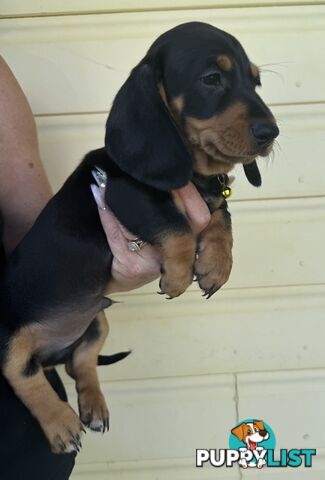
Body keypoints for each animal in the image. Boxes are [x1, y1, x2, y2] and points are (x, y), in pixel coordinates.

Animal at [0, 23, 278, 454]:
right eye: (211, 79)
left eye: (257, 81)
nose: (271, 133)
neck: (194, 173)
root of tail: (49, 356)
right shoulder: (125, 193)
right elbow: (176, 226)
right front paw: (179, 274)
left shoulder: (212, 197)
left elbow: (221, 219)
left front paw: (216, 265)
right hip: (11, 336)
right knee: (21, 373)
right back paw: (61, 423)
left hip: (97, 320)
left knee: (81, 362)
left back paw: (94, 408)